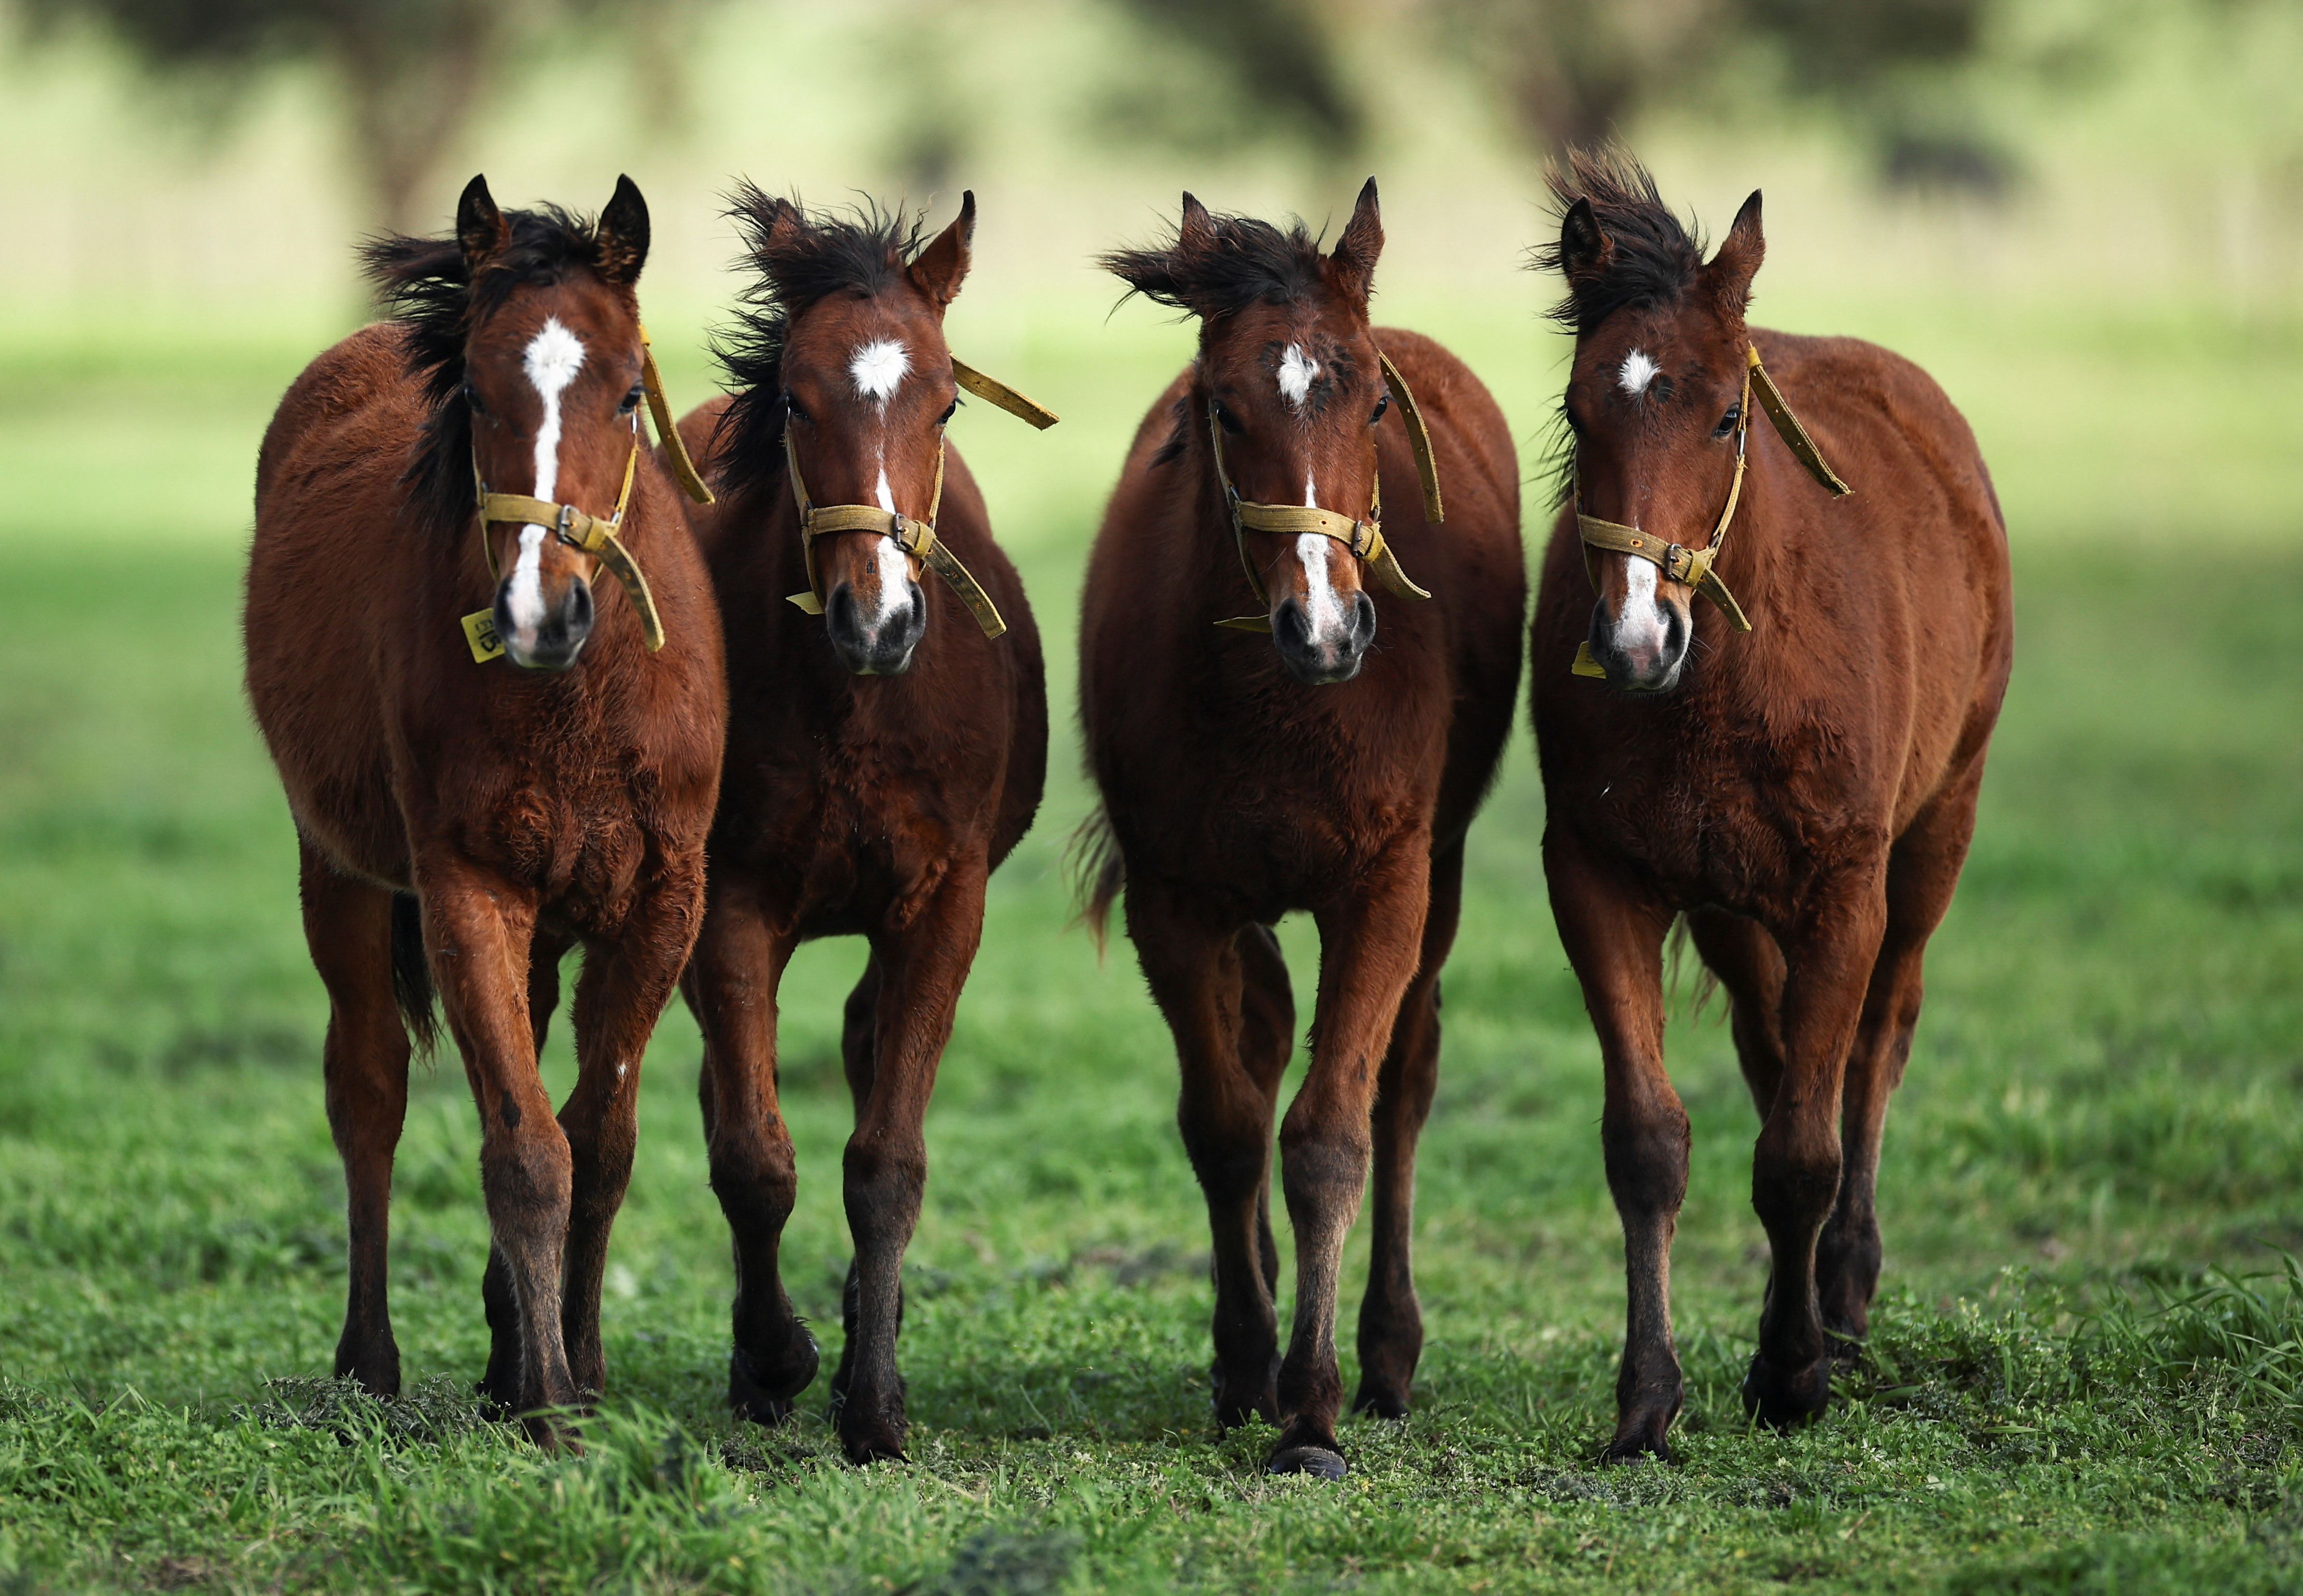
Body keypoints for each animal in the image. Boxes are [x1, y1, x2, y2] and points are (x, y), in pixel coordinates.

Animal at [245, 175, 726, 1443]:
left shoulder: (662, 898)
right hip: (341, 874)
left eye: (626, 390)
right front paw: (550, 1403)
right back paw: (373, 1360)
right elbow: (526, 1147)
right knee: (367, 1088)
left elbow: (600, 1140)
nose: (536, 610)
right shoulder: (465, 886)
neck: (577, 697)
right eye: (472, 390)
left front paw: (573, 1369)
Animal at [667, 189, 1049, 1464]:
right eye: (797, 398)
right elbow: (751, 1154)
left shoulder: (942, 901)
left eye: (945, 401)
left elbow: (886, 1157)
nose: (875, 618)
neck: (857, 700)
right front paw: (774, 1357)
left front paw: (872, 1396)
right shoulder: (731, 902)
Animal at [1078, 181, 1526, 1478]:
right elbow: (1226, 1122)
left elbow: (1330, 1134)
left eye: (1371, 398)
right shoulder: (1175, 900)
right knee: (1265, 1042)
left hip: (1440, 876)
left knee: (1402, 1080)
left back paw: (1382, 1351)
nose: (1325, 626)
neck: (1283, 703)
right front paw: (1246, 1358)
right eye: (1220, 407)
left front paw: (1315, 1408)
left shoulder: (1382, 888)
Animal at [1526, 149, 2013, 1461]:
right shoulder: (1598, 877)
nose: (1635, 638)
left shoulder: (1844, 888)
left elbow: (1803, 1146)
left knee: (1873, 1043)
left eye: (1726, 417)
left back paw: (1841, 1290)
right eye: (1577, 414)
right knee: (1774, 1045)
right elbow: (1649, 1142)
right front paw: (1649, 1393)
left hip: (1935, 837)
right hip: (1734, 906)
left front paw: (1793, 1369)